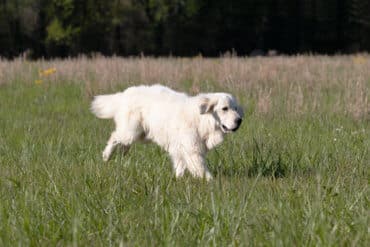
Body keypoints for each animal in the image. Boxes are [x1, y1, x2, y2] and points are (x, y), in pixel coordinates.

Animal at [91, 84, 243, 180]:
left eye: (235, 108)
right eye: (224, 108)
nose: (239, 120)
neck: (202, 119)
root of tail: (124, 94)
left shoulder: (180, 149)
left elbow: (180, 167)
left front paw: (178, 180)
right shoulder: (192, 150)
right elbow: (202, 170)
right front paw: (212, 183)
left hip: (140, 134)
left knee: (122, 144)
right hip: (131, 132)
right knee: (114, 137)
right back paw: (106, 155)